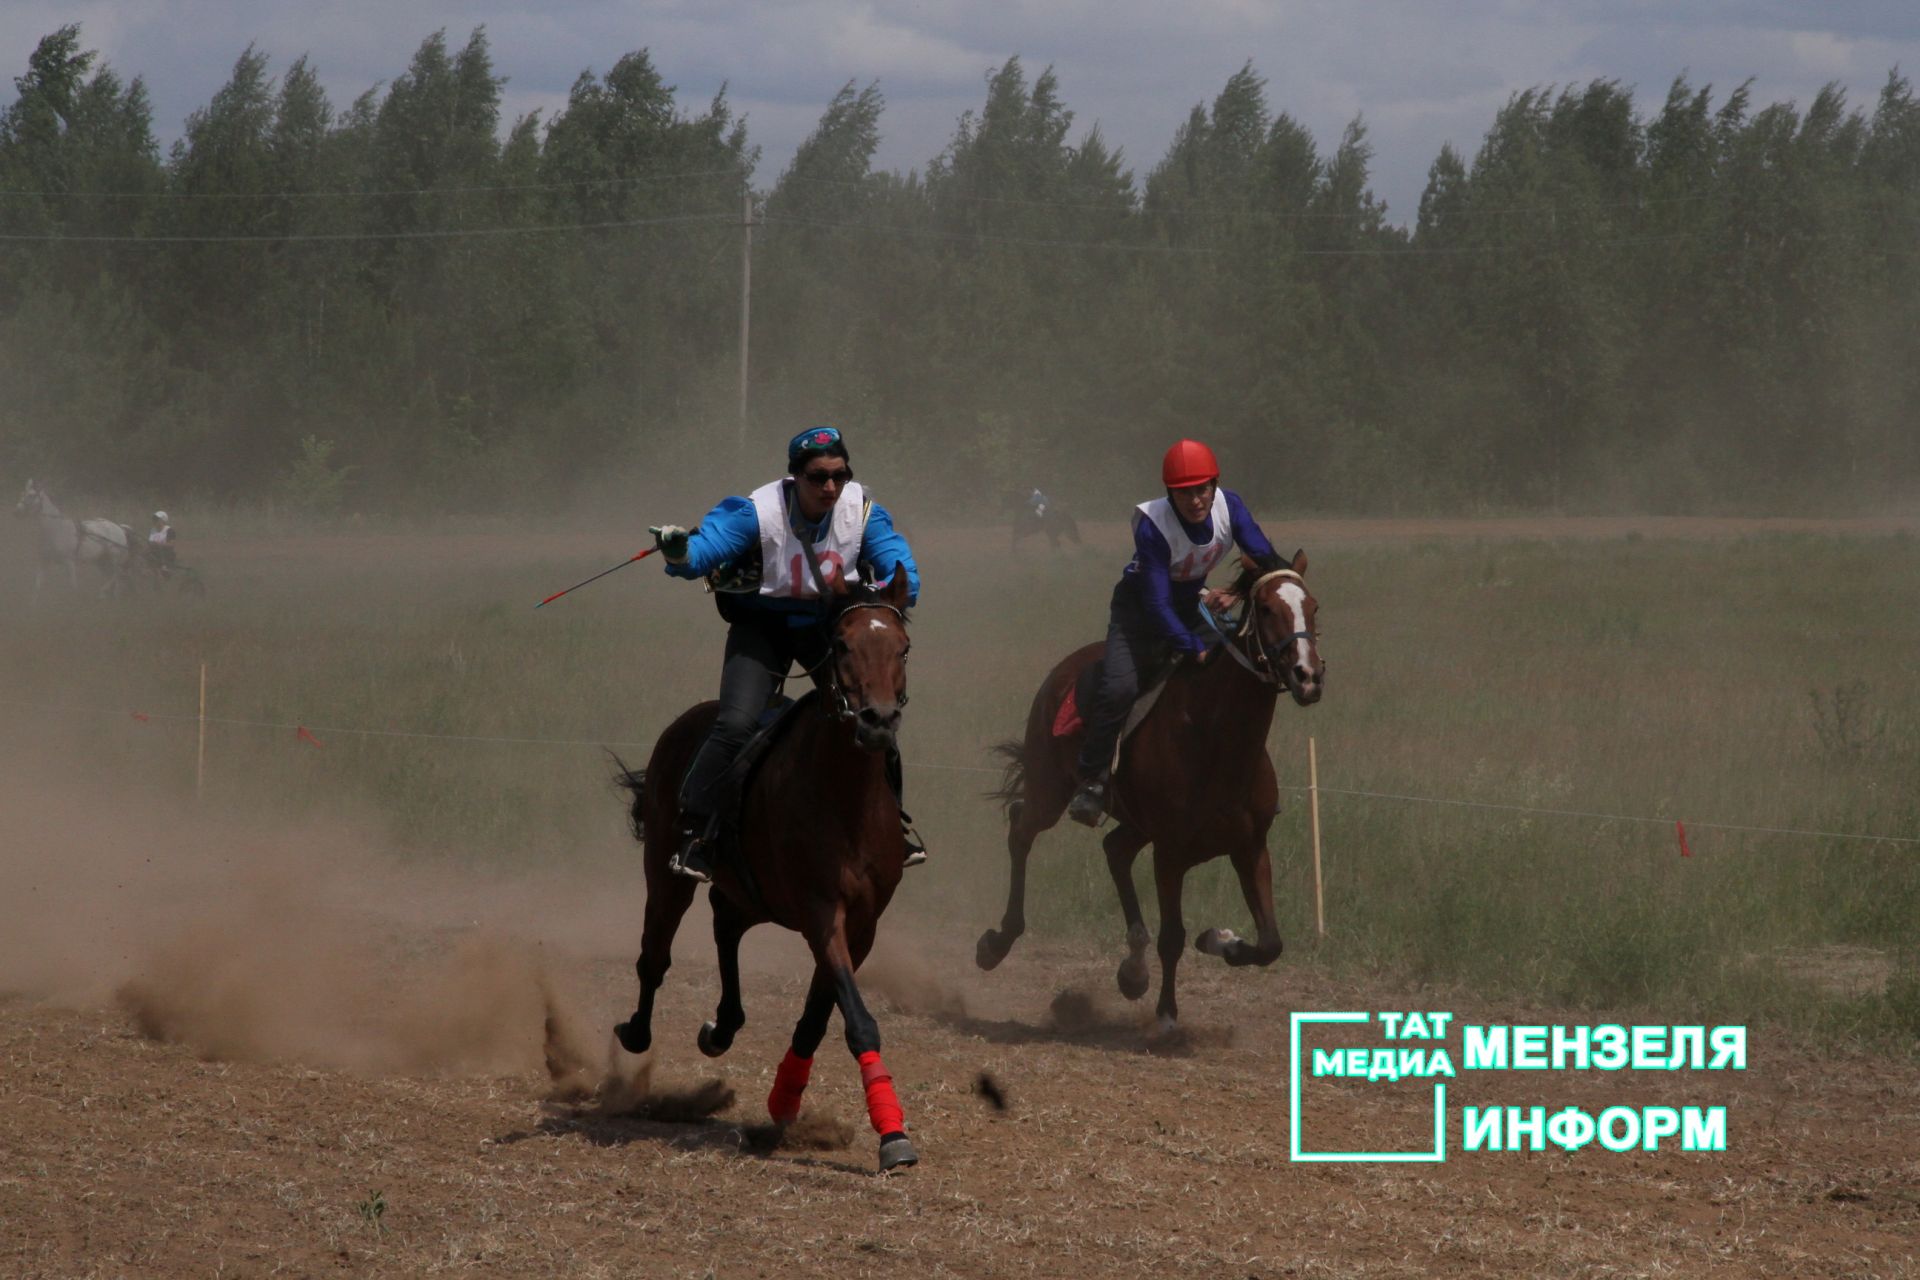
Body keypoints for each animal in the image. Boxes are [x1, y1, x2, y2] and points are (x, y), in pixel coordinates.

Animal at [610, 571, 917, 1174]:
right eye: (841, 645)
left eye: (903, 647)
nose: (877, 721)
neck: (843, 794)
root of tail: (685, 723)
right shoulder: (822, 913)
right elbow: (856, 1017)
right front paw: (892, 1134)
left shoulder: (862, 923)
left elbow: (821, 1014)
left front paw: (786, 1098)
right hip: (667, 873)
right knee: (655, 954)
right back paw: (635, 1031)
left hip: (752, 894)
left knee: (726, 924)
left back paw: (723, 1026)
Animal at [975, 552, 1320, 1028]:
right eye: (1267, 609)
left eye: (1313, 608)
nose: (1308, 676)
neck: (1215, 738)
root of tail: (1062, 672)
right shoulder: (1170, 853)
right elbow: (1172, 936)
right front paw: (1167, 1014)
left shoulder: (1250, 846)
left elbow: (1270, 943)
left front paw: (1217, 938)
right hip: (1050, 789)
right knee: (1021, 829)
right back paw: (997, 943)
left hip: (1135, 822)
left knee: (1114, 849)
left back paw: (1133, 971)